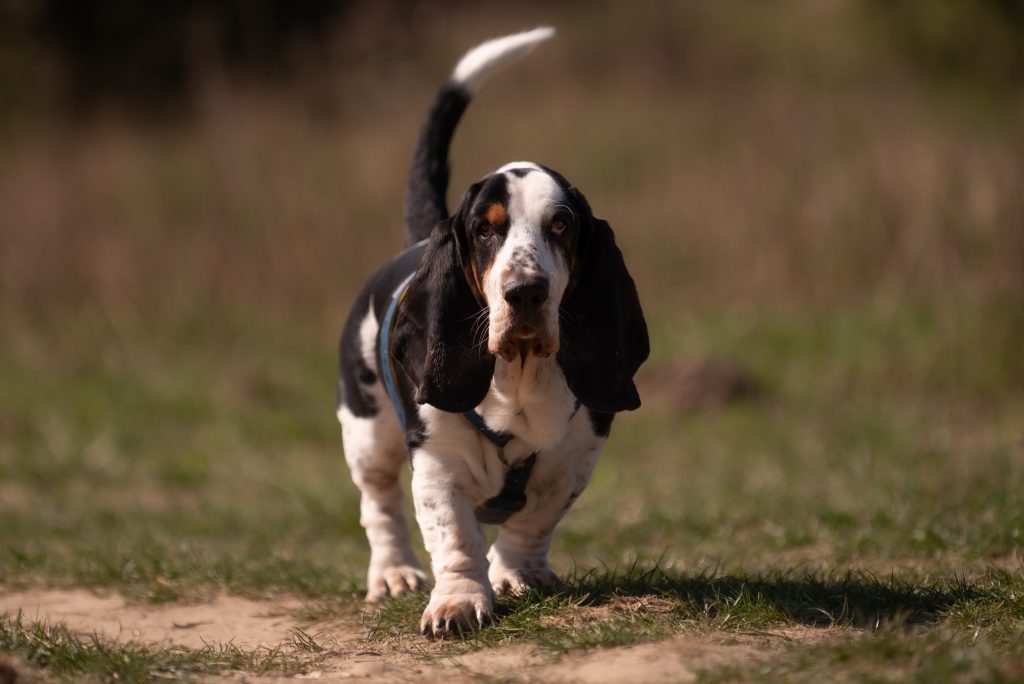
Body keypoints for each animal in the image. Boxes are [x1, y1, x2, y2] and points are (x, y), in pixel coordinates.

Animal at [337, 25, 647, 634]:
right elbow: (455, 537)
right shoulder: (436, 466)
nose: (525, 291)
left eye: (562, 226)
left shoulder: (575, 460)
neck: (521, 378)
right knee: (379, 504)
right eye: (485, 230)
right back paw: (394, 574)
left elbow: (532, 523)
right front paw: (457, 603)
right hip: (366, 433)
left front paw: (518, 574)